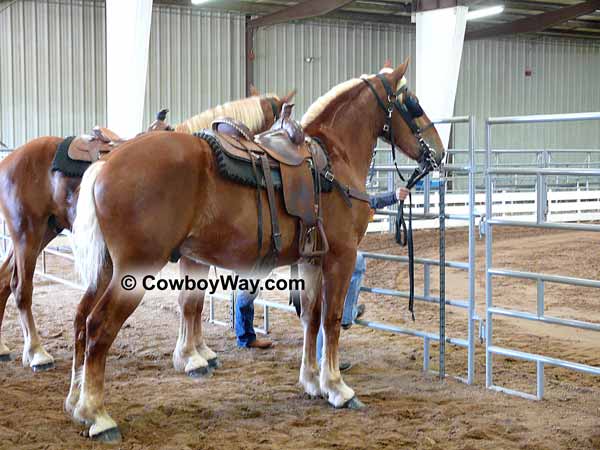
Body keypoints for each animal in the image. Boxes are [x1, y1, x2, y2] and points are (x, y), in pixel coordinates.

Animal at [0, 90, 292, 370]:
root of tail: (11, 158)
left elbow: (194, 303)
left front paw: (201, 352)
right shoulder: (190, 255)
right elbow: (190, 304)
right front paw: (192, 355)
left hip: (41, 233)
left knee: (4, 279)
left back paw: (4, 349)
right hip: (27, 234)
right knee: (21, 288)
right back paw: (37, 354)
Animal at [70, 61, 446, 442]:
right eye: (413, 103)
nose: (439, 151)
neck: (332, 162)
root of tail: (107, 163)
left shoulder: (311, 261)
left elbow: (311, 317)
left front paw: (312, 381)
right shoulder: (340, 258)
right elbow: (332, 319)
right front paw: (337, 387)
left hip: (107, 270)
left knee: (81, 321)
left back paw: (76, 402)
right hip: (134, 273)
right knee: (98, 328)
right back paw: (98, 415)